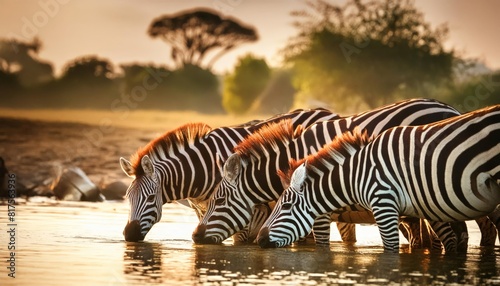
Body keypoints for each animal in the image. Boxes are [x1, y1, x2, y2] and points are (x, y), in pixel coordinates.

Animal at [119, 107, 342, 241]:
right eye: (128, 198)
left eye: (150, 198)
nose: (129, 235)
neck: (204, 168)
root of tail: (329, 112)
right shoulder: (202, 211)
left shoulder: (241, 209)